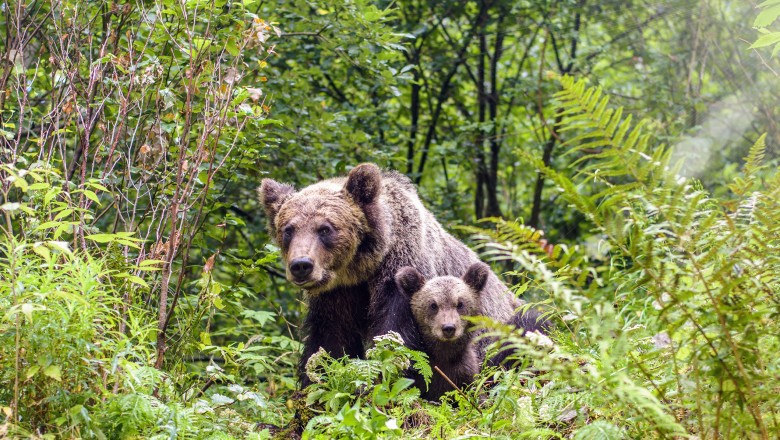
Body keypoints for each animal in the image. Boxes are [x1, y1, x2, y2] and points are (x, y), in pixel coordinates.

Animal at [260, 162, 516, 384]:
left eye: (325, 229)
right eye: (288, 230)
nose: (301, 265)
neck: (361, 270)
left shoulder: (400, 275)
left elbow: (393, 334)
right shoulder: (336, 295)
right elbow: (329, 341)